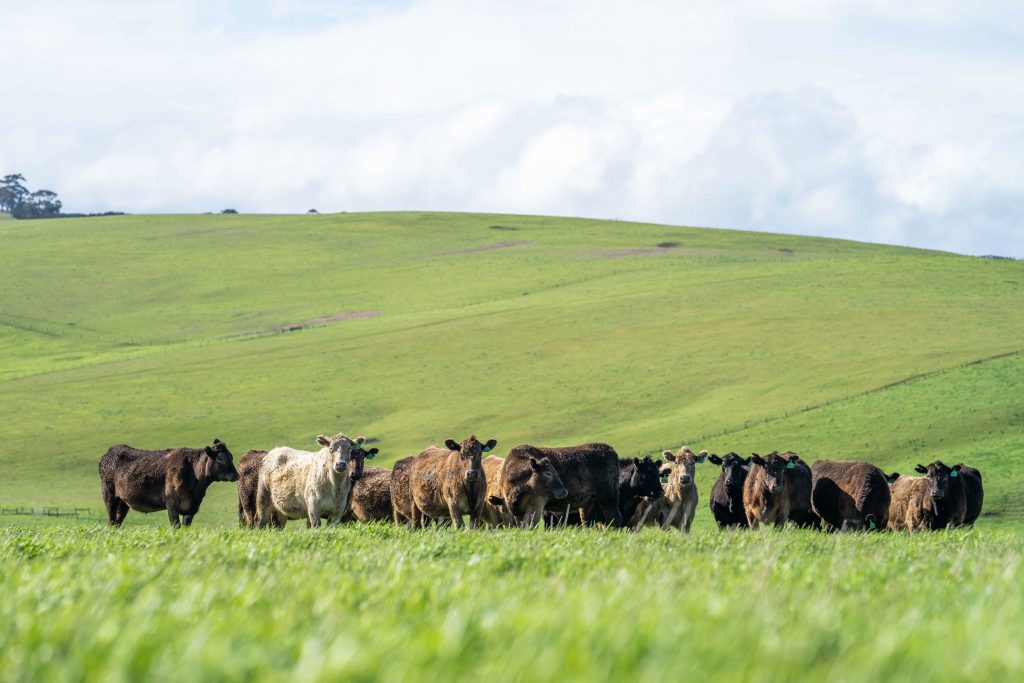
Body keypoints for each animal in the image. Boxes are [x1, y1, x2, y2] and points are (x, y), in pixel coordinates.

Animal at [99, 438, 238, 527]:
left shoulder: (191, 508)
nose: (236, 475)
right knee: (111, 522)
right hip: (109, 495)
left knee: (117, 522)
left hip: (123, 501)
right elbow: (175, 527)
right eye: (220, 457)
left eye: (231, 456)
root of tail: (109, 453)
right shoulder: (171, 503)